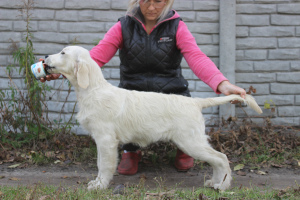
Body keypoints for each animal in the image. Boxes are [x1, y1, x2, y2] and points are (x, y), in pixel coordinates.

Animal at [45, 45, 262, 191]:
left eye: (63, 53)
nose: (45, 56)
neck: (92, 90)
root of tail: (196, 103)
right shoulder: (100, 139)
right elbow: (100, 163)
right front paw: (97, 183)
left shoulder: (106, 139)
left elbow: (104, 165)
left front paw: (100, 186)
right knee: (217, 160)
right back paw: (215, 182)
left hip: (191, 141)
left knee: (221, 158)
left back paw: (223, 186)